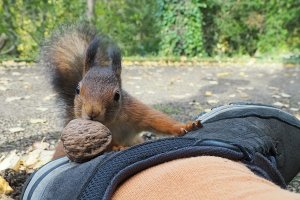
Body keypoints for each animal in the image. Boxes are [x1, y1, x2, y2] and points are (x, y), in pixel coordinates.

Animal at [41, 24, 202, 159]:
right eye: (77, 90)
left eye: (117, 95)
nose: (92, 112)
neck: (113, 122)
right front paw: (116, 147)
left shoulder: (136, 111)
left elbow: (158, 120)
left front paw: (185, 126)